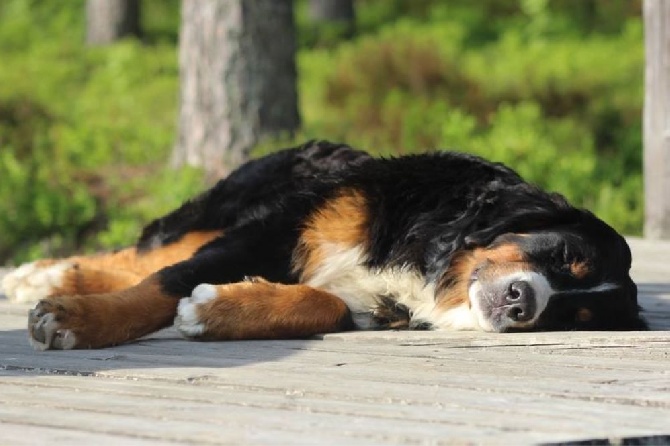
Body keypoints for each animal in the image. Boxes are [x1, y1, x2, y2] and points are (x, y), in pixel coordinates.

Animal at [2, 139, 648, 348]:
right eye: (564, 257)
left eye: (570, 316)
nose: (523, 302)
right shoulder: (281, 225)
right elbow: (162, 284)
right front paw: (76, 319)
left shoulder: (377, 303)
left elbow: (326, 302)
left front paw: (217, 310)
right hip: (231, 208)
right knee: (146, 254)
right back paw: (42, 275)